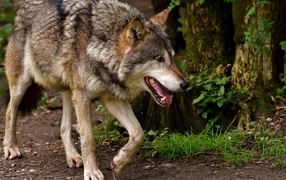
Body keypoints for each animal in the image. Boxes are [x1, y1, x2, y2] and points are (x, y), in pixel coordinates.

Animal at [2, 0, 190, 179]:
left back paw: (73, 157)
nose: (185, 84)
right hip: (23, 84)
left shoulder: (111, 98)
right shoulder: (83, 96)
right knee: (10, 110)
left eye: (172, 58)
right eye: (159, 59)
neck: (102, 49)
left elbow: (138, 133)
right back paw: (11, 147)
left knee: (64, 127)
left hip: (69, 91)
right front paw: (92, 171)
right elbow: (88, 139)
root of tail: (23, 6)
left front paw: (119, 163)